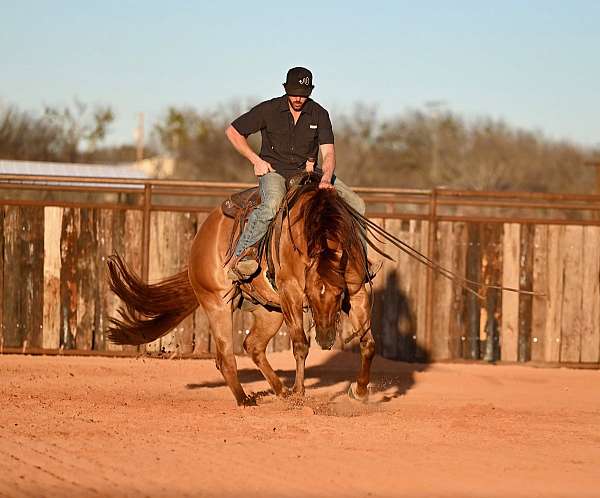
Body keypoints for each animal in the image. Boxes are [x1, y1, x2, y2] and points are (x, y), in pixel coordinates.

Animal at [105, 177, 372, 406]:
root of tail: (200, 240)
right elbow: (300, 345)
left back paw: (281, 391)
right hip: (218, 304)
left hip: (270, 311)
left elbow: (368, 343)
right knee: (225, 357)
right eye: (311, 293)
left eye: (339, 294)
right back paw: (245, 399)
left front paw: (359, 392)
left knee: (253, 345)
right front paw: (299, 394)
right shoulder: (291, 293)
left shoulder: (358, 291)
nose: (326, 339)